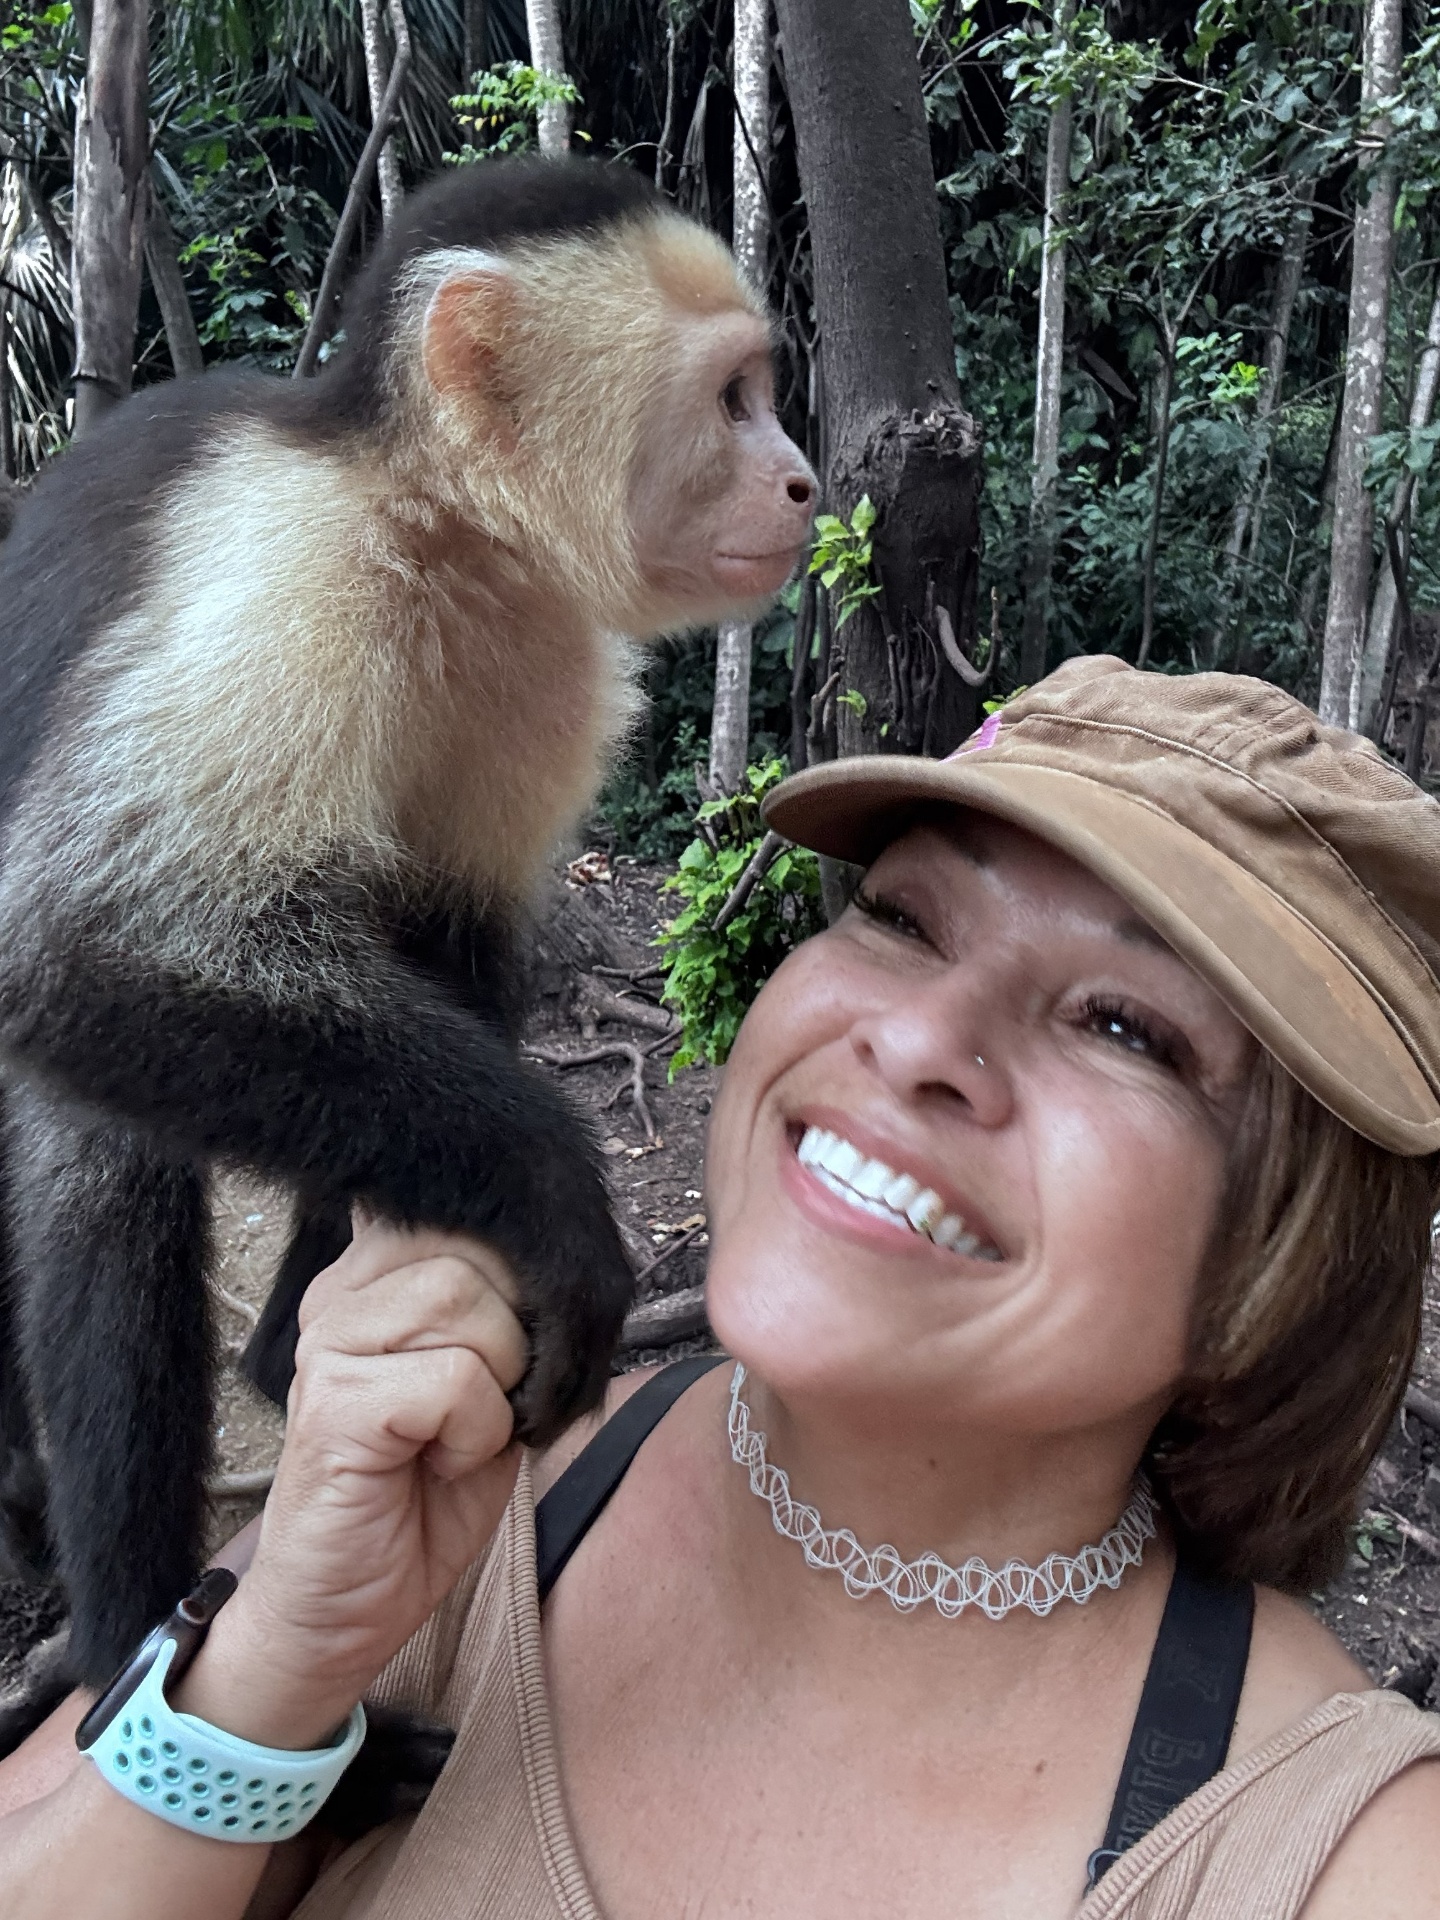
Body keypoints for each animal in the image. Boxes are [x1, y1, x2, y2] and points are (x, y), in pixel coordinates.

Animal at [0, 156, 817, 1726]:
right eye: (737, 398)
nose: (807, 479)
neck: (436, 526)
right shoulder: (287, 578)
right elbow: (73, 948)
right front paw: (554, 1204)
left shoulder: (542, 655)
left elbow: (459, 936)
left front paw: (331, 1318)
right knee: (102, 1160)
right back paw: (130, 1633)